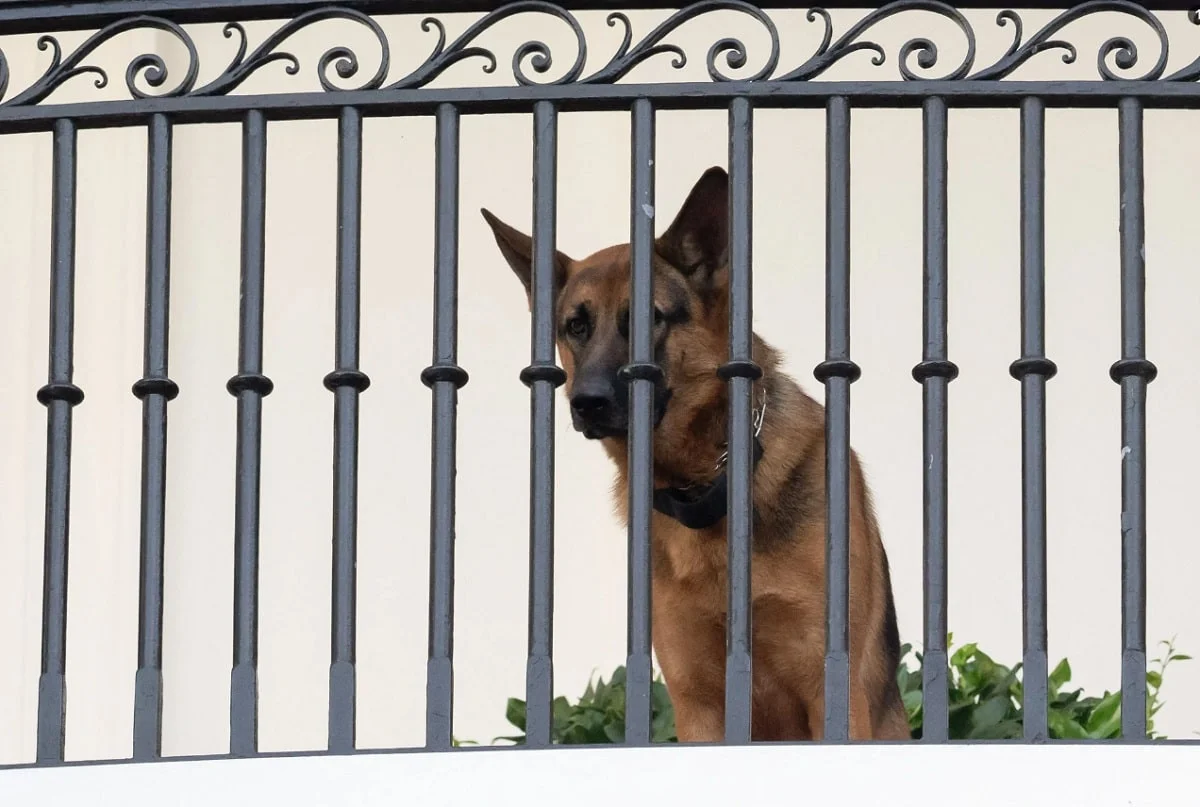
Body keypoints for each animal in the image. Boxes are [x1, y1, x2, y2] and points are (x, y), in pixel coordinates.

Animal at [477, 165, 907, 744]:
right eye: (576, 325)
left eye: (649, 319)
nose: (587, 403)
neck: (705, 484)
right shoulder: (697, 704)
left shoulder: (829, 691)